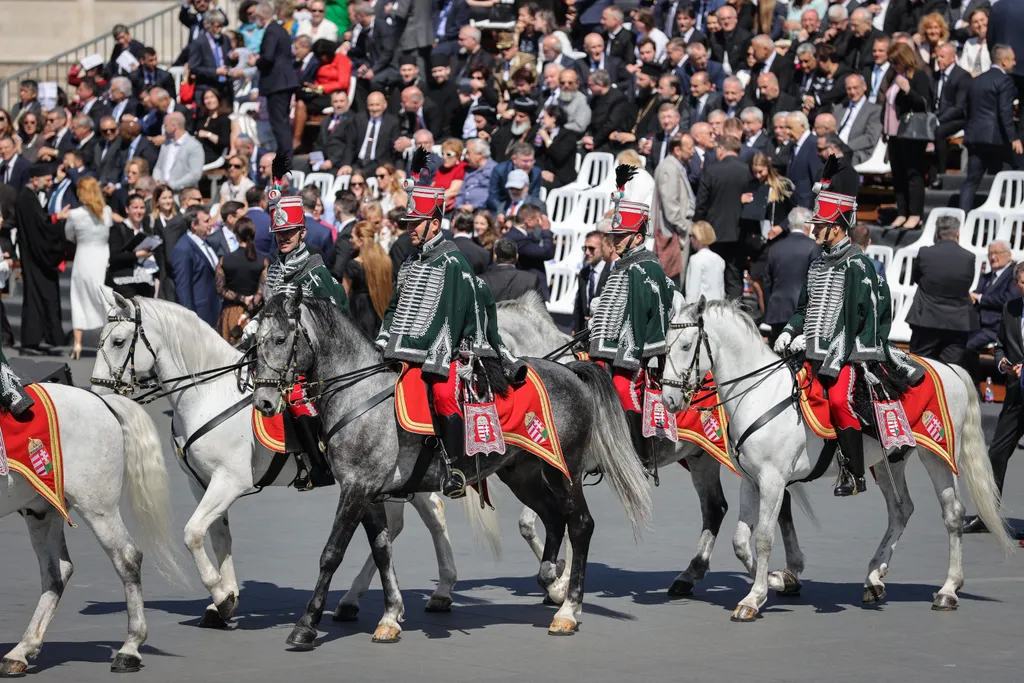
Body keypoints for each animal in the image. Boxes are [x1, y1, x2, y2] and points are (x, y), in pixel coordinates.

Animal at [0, 382, 182, 675]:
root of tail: (100, 401)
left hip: (97, 506)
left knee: (127, 557)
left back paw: (130, 648)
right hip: (43, 510)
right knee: (56, 572)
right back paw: (22, 650)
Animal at [90, 294, 481, 630]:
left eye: (119, 341)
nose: (96, 392)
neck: (210, 395)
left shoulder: (229, 481)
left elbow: (193, 532)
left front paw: (221, 596)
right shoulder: (202, 483)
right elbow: (218, 538)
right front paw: (224, 599)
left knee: (419, 519)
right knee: (420, 518)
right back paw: (393, 596)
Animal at [659, 296, 1011, 622]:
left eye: (687, 345)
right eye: (665, 346)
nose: (669, 398)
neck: (760, 394)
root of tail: (949, 369)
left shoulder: (773, 480)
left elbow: (763, 538)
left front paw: (755, 597)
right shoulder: (750, 480)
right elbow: (741, 541)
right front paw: (776, 579)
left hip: (936, 455)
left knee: (952, 514)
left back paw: (948, 589)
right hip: (891, 459)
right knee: (901, 510)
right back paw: (874, 578)